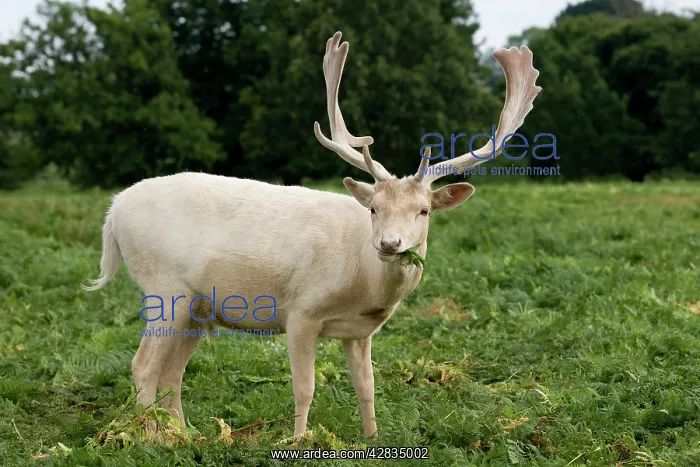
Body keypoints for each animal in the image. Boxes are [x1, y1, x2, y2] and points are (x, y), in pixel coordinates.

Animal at [83, 31, 542, 440]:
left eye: (423, 210)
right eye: (373, 208)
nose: (389, 244)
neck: (361, 281)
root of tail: (113, 212)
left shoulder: (360, 332)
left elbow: (367, 389)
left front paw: (372, 438)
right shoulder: (301, 310)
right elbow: (305, 387)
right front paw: (300, 440)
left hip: (197, 306)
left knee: (172, 373)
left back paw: (185, 435)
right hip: (165, 288)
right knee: (143, 365)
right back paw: (148, 438)